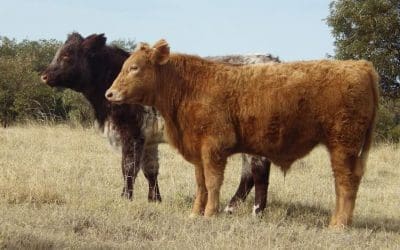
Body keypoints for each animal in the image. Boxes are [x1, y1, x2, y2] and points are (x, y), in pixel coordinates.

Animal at [105, 38, 378, 227]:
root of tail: (360, 65)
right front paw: (195, 213)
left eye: (135, 68)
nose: (109, 93)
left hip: (343, 146)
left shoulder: (213, 147)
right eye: (125, 66)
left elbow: (213, 182)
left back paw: (338, 225)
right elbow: (201, 184)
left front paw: (210, 213)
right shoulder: (198, 151)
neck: (189, 86)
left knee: (345, 183)